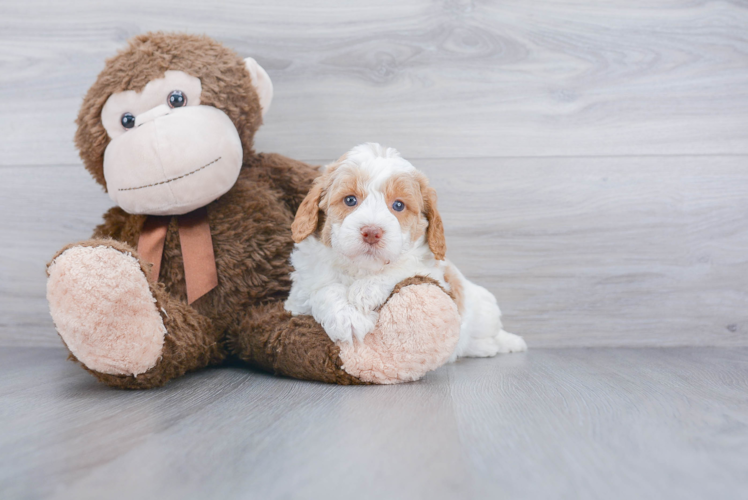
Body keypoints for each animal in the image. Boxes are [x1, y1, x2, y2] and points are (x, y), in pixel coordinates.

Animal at [284, 144, 524, 360]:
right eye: (350, 200)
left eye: (398, 205)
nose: (372, 232)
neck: (361, 269)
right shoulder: (298, 298)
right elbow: (324, 289)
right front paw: (347, 317)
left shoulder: (432, 272)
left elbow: (404, 268)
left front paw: (364, 291)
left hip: (485, 309)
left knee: (490, 334)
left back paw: (498, 344)